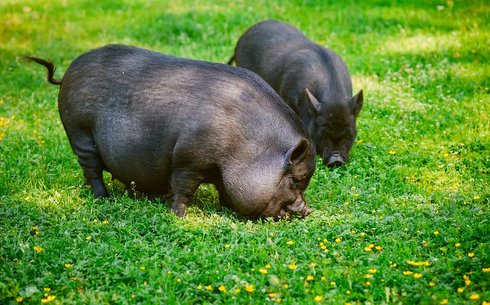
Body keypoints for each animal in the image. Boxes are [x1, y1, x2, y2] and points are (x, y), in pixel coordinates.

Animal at [23, 44, 316, 217]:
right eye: (295, 180)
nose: (307, 210)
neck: (246, 145)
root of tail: (67, 73)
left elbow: (223, 189)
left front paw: (223, 207)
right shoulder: (188, 159)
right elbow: (183, 188)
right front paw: (180, 216)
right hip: (79, 132)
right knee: (92, 169)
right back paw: (103, 198)